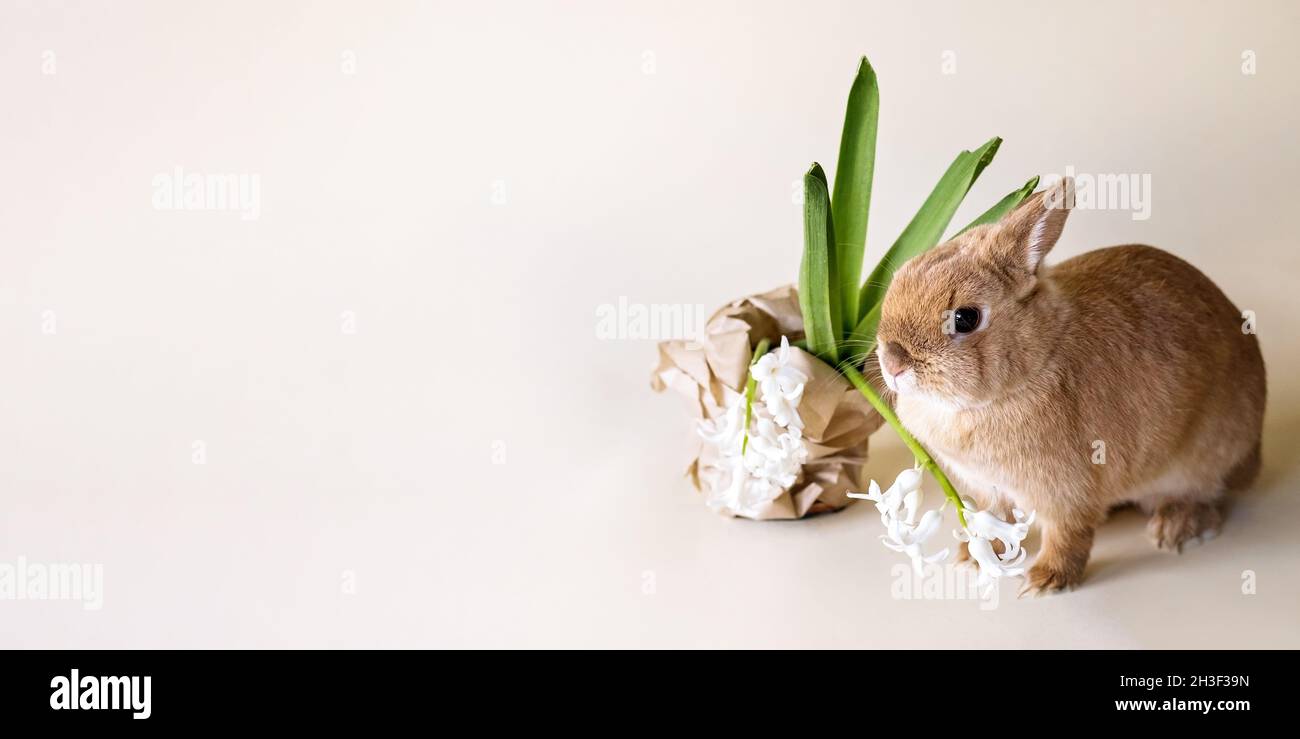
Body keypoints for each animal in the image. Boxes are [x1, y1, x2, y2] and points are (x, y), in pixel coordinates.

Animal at [869, 176, 1266, 595]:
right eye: (899, 279)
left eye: (965, 318)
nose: (892, 363)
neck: (1034, 362)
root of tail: (1254, 454)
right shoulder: (988, 490)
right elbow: (996, 520)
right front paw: (976, 557)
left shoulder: (1066, 490)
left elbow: (1067, 534)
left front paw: (1046, 580)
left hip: (1201, 460)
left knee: (1205, 496)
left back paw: (1174, 529)